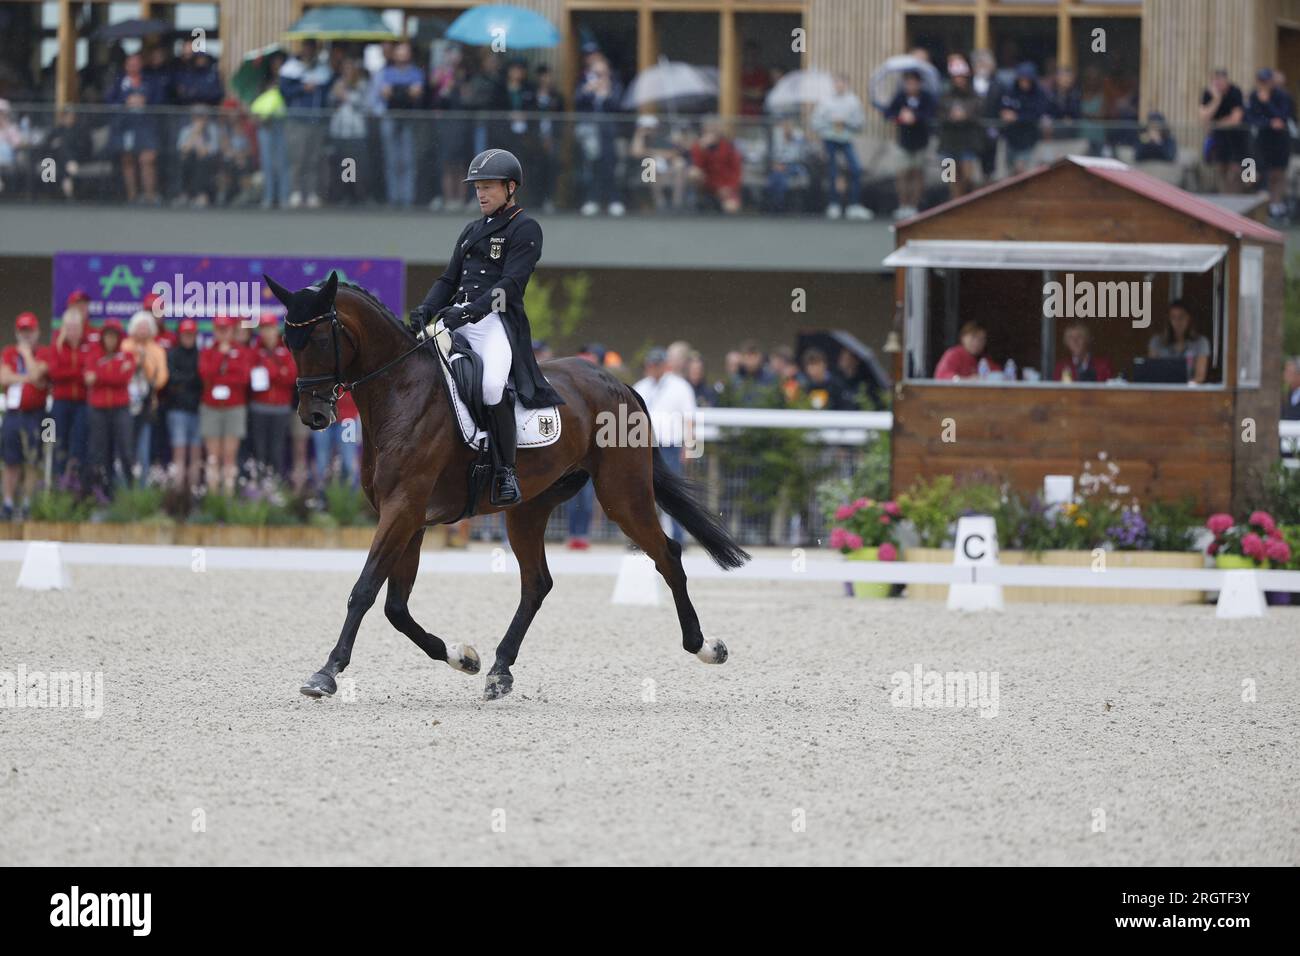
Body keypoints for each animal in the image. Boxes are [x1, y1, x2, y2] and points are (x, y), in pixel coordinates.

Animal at [261, 270, 754, 702]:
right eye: (288, 342)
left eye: (319, 339)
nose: (314, 415)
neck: (402, 390)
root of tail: (620, 384)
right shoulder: (408, 516)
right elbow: (396, 608)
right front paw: (463, 657)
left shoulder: (403, 510)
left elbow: (364, 591)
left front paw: (326, 673)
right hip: (528, 508)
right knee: (536, 583)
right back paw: (499, 670)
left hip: (622, 495)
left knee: (667, 555)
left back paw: (705, 646)